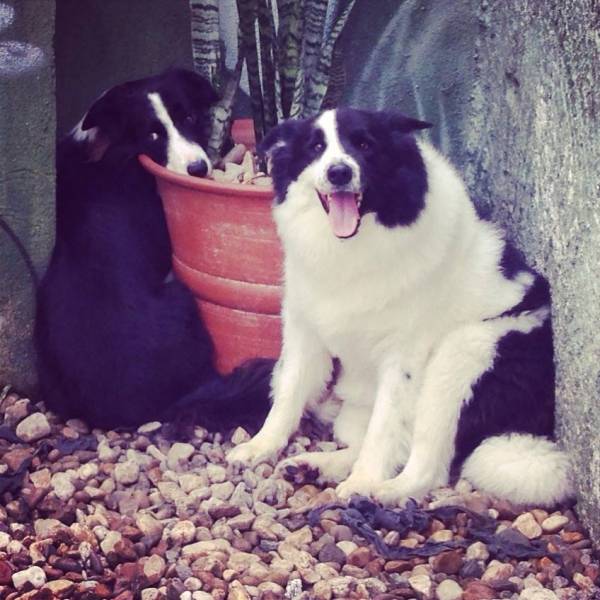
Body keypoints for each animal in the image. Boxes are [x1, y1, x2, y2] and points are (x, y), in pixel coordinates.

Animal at [34, 68, 274, 428]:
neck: (109, 140)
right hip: (184, 298)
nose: (198, 169)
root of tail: (157, 407)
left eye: (188, 117)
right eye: (152, 135)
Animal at [229, 108, 572, 506]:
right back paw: (315, 466)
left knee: (428, 465)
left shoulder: (403, 359)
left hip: (463, 352)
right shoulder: (304, 329)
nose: (339, 172)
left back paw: (382, 490)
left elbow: (385, 428)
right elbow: (288, 393)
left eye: (364, 144)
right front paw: (261, 446)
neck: (353, 246)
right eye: (315, 147)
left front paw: (364, 480)